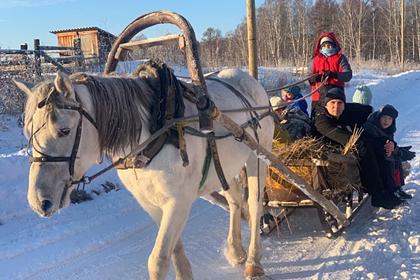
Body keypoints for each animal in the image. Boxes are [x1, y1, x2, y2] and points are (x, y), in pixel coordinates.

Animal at [13, 68, 274, 280]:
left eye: (64, 130)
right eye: (28, 133)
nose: (38, 202)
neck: (157, 133)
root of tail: (247, 77)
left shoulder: (178, 202)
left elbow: (157, 260)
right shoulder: (151, 202)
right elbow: (174, 251)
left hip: (257, 157)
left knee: (254, 205)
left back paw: (253, 262)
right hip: (225, 169)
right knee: (235, 201)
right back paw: (236, 250)